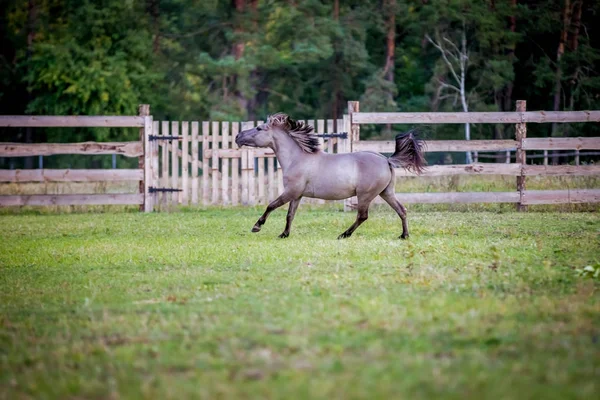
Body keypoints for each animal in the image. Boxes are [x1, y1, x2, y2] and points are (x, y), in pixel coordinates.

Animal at [234, 112, 426, 239]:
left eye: (259, 128)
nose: (237, 136)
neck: (297, 158)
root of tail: (386, 160)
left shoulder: (291, 191)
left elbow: (271, 206)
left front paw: (257, 226)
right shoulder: (297, 195)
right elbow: (290, 214)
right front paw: (284, 234)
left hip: (365, 195)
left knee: (362, 216)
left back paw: (344, 234)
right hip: (386, 192)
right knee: (401, 210)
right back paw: (404, 235)